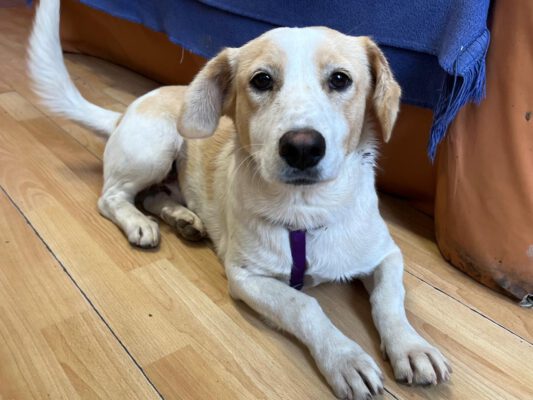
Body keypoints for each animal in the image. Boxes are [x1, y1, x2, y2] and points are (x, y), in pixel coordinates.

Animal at [28, 1, 452, 398]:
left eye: (340, 79)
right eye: (262, 80)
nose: (302, 147)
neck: (306, 210)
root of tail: (126, 111)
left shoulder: (387, 255)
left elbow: (390, 300)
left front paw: (412, 347)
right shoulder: (247, 276)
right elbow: (305, 306)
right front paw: (345, 358)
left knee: (152, 197)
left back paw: (183, 219)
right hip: (156, 146)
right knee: (112, 197)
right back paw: (139, 224)